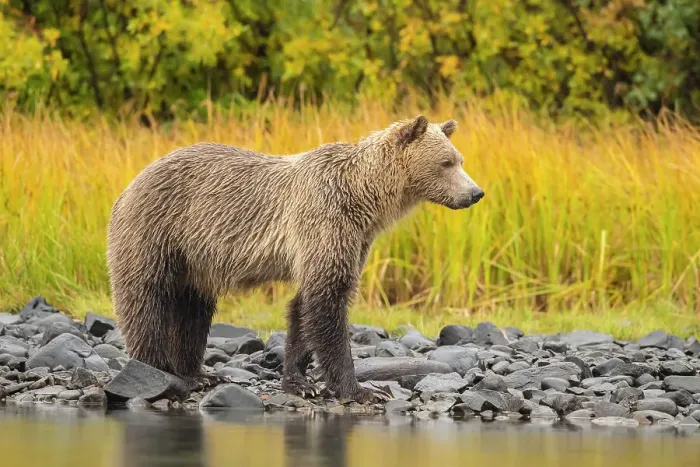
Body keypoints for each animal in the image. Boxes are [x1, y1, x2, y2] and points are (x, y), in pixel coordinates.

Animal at [106, 115, 484, 403]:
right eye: (446, 162)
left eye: (460, 159)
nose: (475, 192)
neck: (365, 198)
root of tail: (131, 182)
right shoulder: (324, 219)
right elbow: (328, 302)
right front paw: (361, 389)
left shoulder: (351, 239)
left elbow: (304, 308)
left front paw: (300, 382)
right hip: (156, 230)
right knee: (146, 299)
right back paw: (155, 372)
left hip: (194, 259)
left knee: (193, 310)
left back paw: (198, 375)